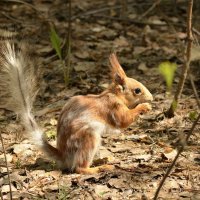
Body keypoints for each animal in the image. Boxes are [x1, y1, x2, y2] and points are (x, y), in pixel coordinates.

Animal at [0, 38, 153, 174]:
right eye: (137, 90)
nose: (151, 98)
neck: (113, 94)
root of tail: (63, 157)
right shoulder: (113, 107)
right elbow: (124, 120)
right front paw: (144, 107)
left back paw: (103, 160)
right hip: (88, 138)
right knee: (79, 168)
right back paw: (98, 168)